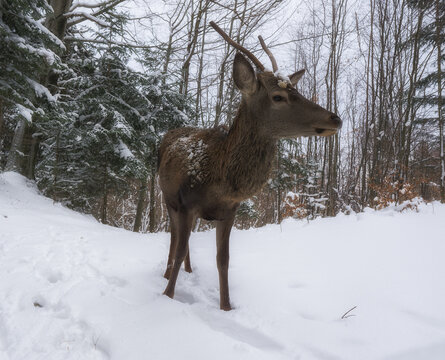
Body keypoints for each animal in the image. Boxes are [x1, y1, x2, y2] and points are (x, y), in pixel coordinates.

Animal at [158, 21, 342, 310]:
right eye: (278, 96)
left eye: (296, 90)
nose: (336, 119)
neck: (220, 181)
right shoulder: (186, 203)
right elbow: (179, 249)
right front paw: (167, 296)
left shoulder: (228, 212)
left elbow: (223, 261)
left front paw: (226, 307)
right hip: (168, 198)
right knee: (175, 237)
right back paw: (167, 274)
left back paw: (189, 270)